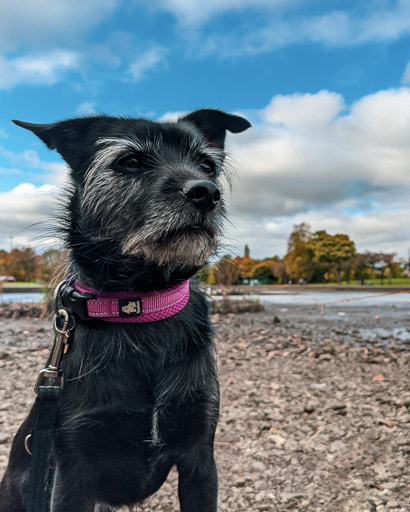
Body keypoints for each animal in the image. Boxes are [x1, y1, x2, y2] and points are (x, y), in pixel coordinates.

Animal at [0, 110, 251, 510]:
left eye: (207, 165)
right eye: (130, 161)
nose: (207, 192)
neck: (140, 305)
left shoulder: (200, 459)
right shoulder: (71, 472)